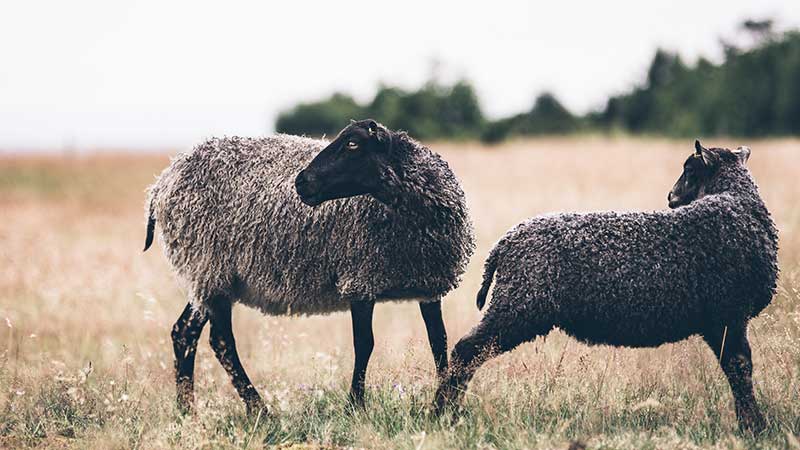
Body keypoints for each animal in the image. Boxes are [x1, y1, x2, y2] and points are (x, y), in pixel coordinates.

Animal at [145, 119, 476, 414]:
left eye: (352, 143)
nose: (300, 181)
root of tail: (162, 182)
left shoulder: (429, 286)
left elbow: (438, 342)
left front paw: (446, 402)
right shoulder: (360, 279)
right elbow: (364, 344)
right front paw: (356, 407)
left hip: (206, 278)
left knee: (184, 332)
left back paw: (187, 411)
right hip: (210, 267)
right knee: (221, 341)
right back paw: (259, 410)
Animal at [434, 142, 780, 432]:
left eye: (690, 170)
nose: (670, 197)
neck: (738, 208)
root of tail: (505, 243)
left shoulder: (725, 319)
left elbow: (737, 369)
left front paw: (751, 423)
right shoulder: (727, 315)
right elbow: (740, 368)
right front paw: (755, 427)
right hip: (518, 305)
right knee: (467, 350)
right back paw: (443, 414)